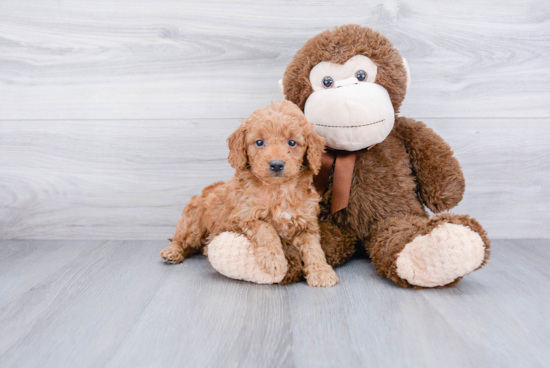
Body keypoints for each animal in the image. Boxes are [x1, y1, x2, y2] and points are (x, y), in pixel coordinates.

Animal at [161, 100, 340, 288]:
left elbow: (314, 247)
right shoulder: (241, 218)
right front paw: (274, 260)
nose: (276, 165)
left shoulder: (306, 224)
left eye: (292, 142)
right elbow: (266, 228)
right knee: (180, 239)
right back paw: (172, 252)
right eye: (259, 142)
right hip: (194, 223)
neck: (278, 190)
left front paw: (321, 271)